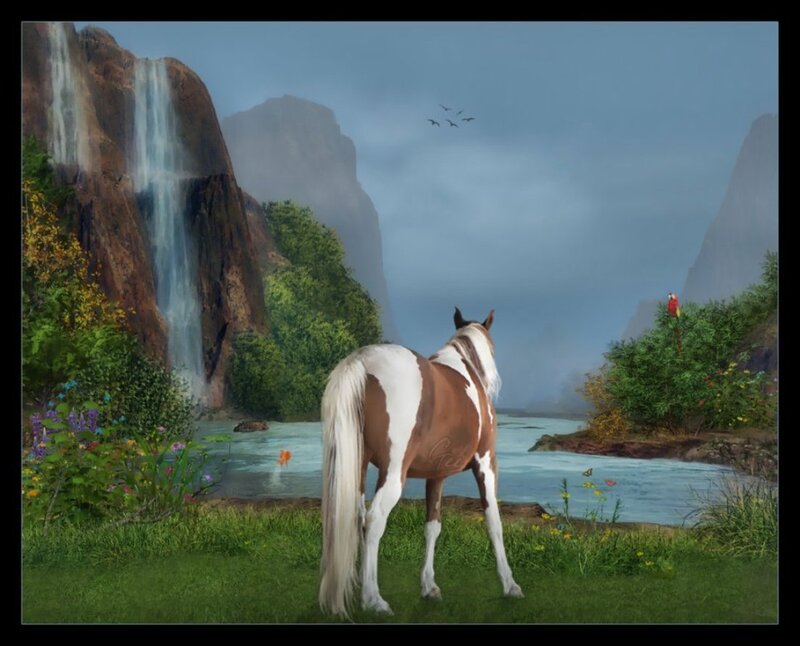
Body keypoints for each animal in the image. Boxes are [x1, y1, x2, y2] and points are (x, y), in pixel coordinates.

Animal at [319, 307, 523, 617]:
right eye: (493, 348)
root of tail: (363, 362)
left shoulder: (436, 475)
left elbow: (432, 527)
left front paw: (429, 587)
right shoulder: (486, 463)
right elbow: (493, 522)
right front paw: (510, 585)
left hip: (356, 469)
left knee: (355, 518)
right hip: (392, 474)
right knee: (374, 520)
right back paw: (374, 599)